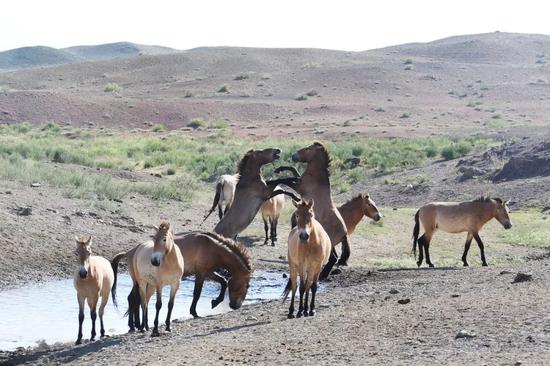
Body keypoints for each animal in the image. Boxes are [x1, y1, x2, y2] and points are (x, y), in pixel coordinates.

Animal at [276, 142, 350, 278]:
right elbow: (293, 171)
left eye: (307, 149)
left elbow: (288, 180)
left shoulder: (299, 187)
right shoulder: (299, 181)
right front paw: (279, 169)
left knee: (333, 257)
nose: (294, 155)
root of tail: (345, 232)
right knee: (334, 257)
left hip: (329, 241)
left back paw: (323, 274)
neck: (316, 176)